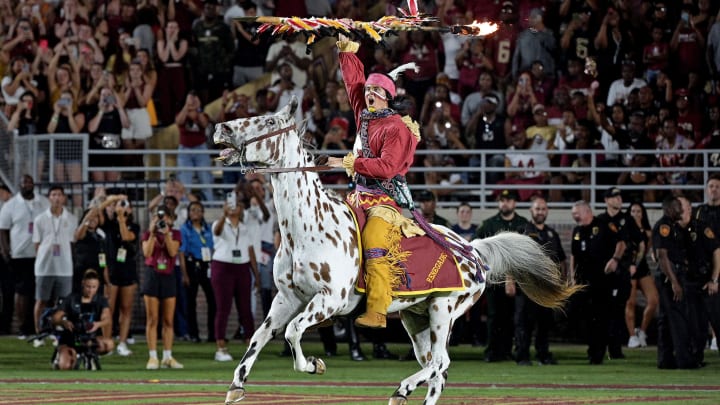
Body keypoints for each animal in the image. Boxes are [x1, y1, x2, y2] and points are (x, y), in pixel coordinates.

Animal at [214, 98, 580, 404]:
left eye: (266, 121)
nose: (221, 128)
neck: (307, 229)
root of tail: (473, 249)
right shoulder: (287, 297)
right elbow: (259, 336)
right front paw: (236, 385)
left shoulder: (330, 300)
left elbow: (292, 332)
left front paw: (314, 364)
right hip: (415, 318)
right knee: (437, 371)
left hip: (443, 310)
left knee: (440, 362)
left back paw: (401, 388)